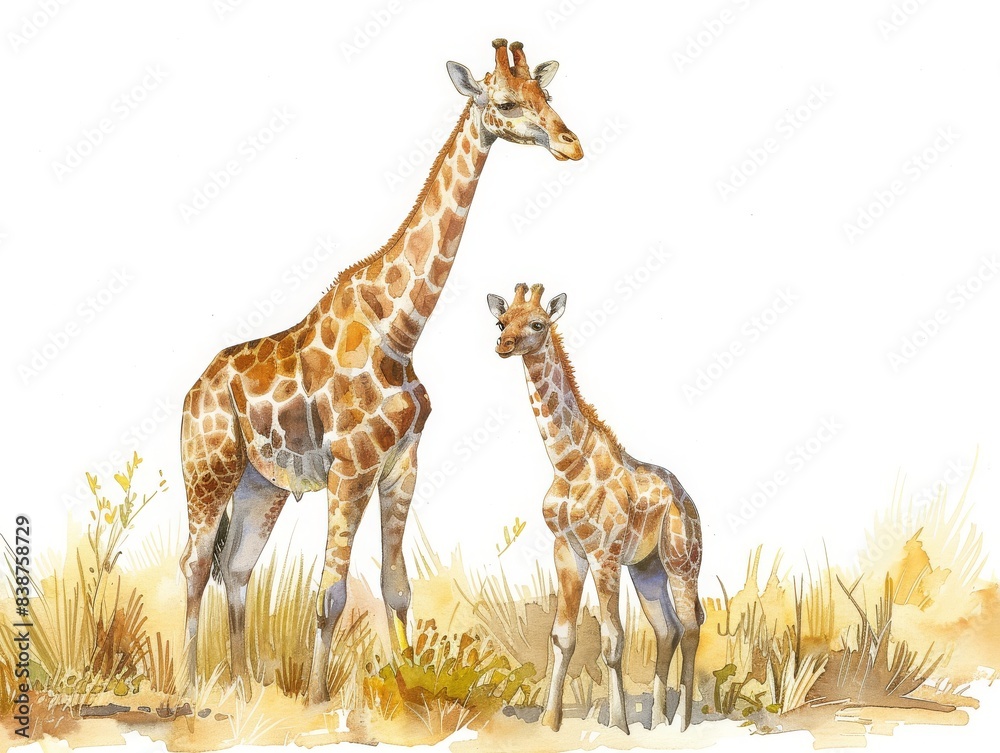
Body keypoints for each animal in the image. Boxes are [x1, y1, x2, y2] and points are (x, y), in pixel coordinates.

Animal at [179, 40, 583, 703]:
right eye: (504, 102)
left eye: (546, 94)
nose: (571, 144)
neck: (401, 329)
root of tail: (191, 394)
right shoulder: (350, 468)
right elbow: (331, 594)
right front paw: (320, 700)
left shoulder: (401, 467)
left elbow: (396, 588)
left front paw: (408, 685)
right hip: (208, 471)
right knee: (192, 566)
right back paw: (189, 689)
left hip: (260, 484)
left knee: (234, 570)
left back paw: (240, 686)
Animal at [486, 284, 705, 733]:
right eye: (501, 322)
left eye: (538, 323)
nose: (503, 345)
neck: (567, 462)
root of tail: (687, 498)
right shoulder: (567, 549)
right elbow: (562, 636)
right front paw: (550, 723)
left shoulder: (604, 552)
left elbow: (612, 638)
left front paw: (618, 726)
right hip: (647, 569)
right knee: (668, 629)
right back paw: (658, 720)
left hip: (682, 561)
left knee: (691, 627)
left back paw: (682, 723)